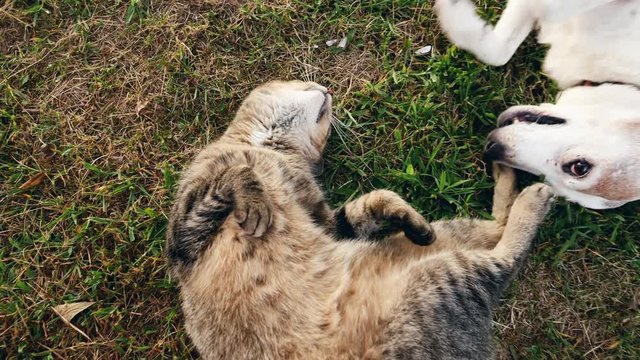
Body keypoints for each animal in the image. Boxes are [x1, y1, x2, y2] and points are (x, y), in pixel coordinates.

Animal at [166, 80, 556, 358]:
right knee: (499, 248)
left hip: (437, 266)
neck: (273, 150)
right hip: (438, 274)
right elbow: (235, 175)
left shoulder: (324, 220)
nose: (327, 87)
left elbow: (368, 204)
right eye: (300, 80)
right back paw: (522, 189)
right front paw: (253, 193)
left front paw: (398, 209)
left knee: (499, 241)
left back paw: (517, 182)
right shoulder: (185, 232)